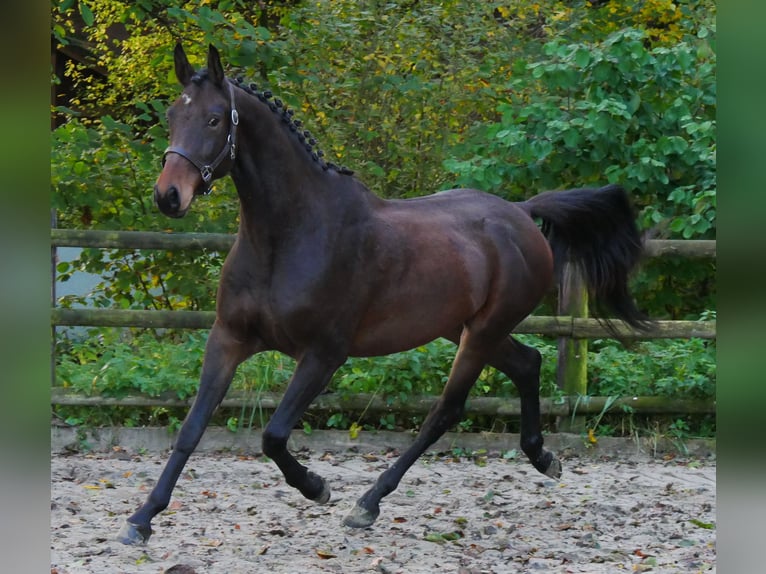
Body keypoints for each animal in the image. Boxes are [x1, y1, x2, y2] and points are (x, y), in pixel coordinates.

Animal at [118, 44, 648, 544]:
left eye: (213, 118)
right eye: (172, 115)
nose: (168, 196)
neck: (289, 236)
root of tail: (521, 213)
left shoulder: (324, 354)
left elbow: (273, 435)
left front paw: (318, 487)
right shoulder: (227, 338)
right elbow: (191, 429)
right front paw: (142, 519)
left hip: (481, 333)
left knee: (445, 411)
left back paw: (367, 503)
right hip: (464, 328)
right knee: (527, 364)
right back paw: (543, 457)